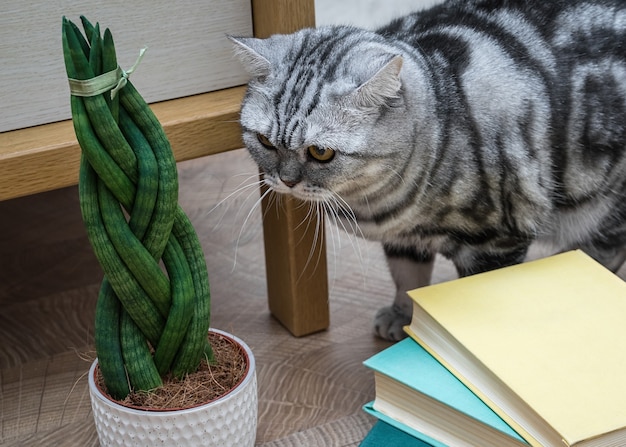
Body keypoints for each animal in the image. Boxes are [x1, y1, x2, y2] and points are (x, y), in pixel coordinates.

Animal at [232, 0, 624, 342]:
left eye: (320, 152)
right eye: (265, 142)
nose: (286, 181)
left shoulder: (498, 240)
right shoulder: (403, 241)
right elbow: (408, 279)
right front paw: (404, 316)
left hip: (600, 212)